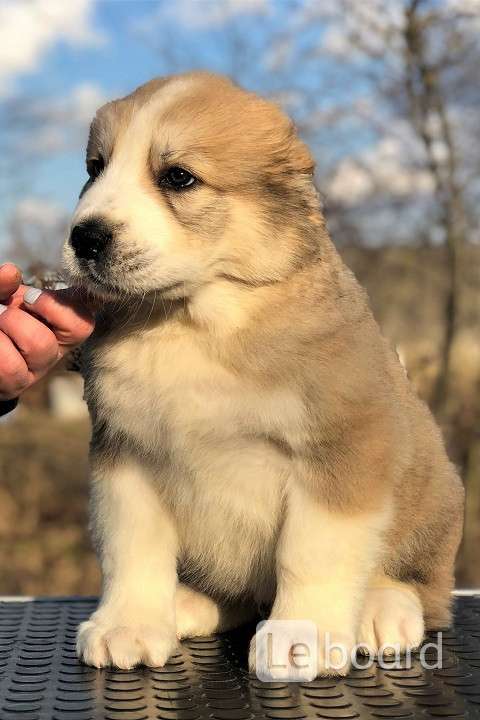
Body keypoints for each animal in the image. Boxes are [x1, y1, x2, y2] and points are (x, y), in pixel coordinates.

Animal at [63, 71, 464, 676]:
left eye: (177, 177)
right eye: (94, 167)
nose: (84, 238)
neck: (192, 326)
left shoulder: (341, 450)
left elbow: (311, 552)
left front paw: (304, 634)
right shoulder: (124, 451)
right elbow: (131, 548)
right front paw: (128, 624)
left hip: (433, 497)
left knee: (425, 587)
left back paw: (380, 608)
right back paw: (188, 604)